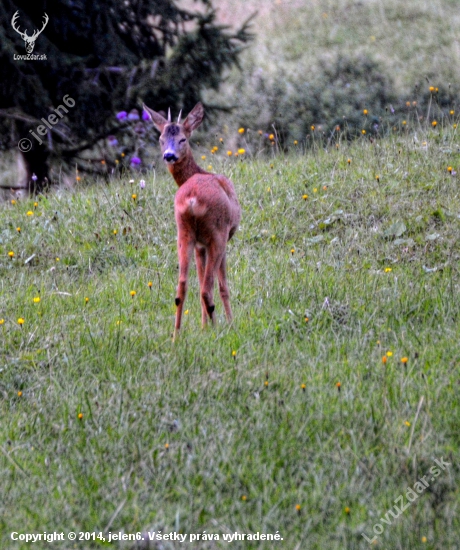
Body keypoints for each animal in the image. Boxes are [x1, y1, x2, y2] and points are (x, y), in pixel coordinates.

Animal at [145, 101, 243, 338]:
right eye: (161, 139)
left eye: (182, 139)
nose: (169, 155)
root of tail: (191, 200)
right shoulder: (220, 239)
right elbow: (223, 286)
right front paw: (229, 322)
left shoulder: (199, 245)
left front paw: (202, 326)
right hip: (217, 233)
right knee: (207, 289)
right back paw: (217, 331)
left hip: (183, 233)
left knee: (182, 286)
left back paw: (176, 335)